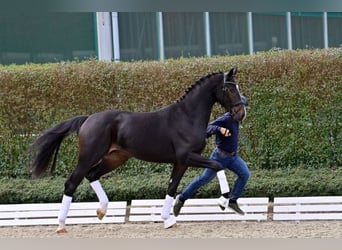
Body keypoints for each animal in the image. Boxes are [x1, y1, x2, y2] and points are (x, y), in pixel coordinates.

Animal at [29, 67, 246, 232]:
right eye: (229, 88)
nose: (240, 113)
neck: (186, 116)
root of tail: (88, 119)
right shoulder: (187, 157)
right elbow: (217, 165)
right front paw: (224, 201)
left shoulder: (181, 162)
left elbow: (172, 187)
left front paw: (168, 220)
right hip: (88, 156)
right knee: (72, 183)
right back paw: (61, 225)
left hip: (115, 158)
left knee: (92, 175)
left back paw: (101, 211)